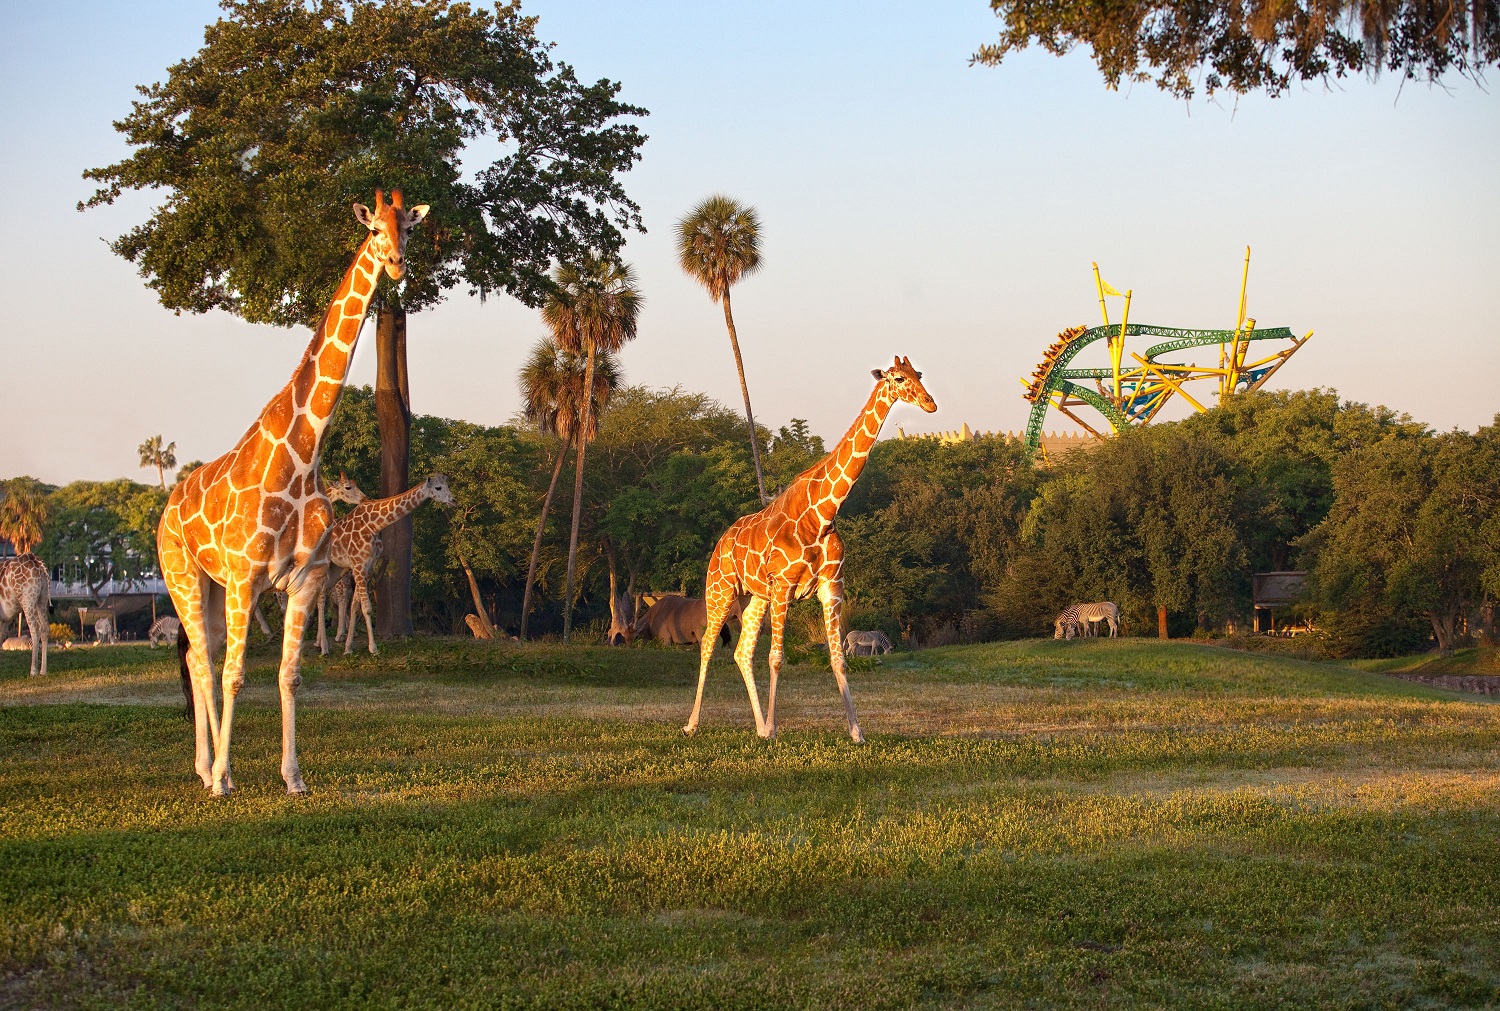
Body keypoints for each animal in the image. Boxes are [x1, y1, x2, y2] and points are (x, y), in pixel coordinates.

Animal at [159, 186, 429, 786]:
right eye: (374, 229)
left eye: (409, 227)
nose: (397, 264)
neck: (304, 456)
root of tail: (165, 509)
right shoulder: (246, 578)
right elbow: (236, 675)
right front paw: (227, 780)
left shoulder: (302, 581)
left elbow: (290, 676)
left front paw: (293, 777)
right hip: (184, 574)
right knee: (205, 662)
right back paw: (212, 773)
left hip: (212, 587)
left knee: (197, 656)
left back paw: (206, 766)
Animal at [315, 474, 450, 654]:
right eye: (438, 488)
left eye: (447, 486)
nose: (453, 500)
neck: (373, 524)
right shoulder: (358, 566)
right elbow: (366, 607)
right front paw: (373, 648)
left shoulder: (367, 568)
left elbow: (355, 606)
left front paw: (348, 647)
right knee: (321, 598)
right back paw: (324, 647)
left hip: (337, 569)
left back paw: (322, 643)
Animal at [684, 354, 936, 741]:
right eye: (897, 378)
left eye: (919, 374)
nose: (929, 402)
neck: (824, 512)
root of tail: (721, 541)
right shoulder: (785, 587)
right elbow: (776, 658)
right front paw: (775, 729)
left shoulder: (831, 588)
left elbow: (838, 658)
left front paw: (856, 732)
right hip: (721, 588)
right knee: (708, 645)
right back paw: (693, 724)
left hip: (756, 596)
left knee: (741, 652)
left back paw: (757, 726)